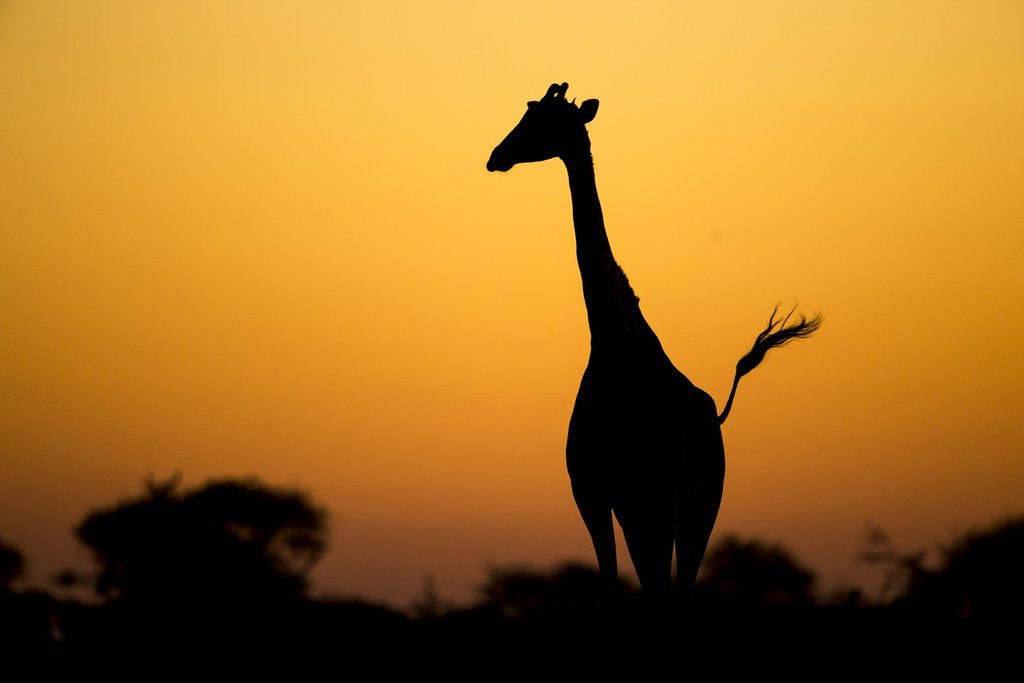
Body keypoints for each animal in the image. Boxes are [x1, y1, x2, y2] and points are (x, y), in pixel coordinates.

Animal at [487, 83, 822, 592]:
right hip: (663, 507)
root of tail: (715, 416)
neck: (614, 341)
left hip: (685, 504)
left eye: (543, 119)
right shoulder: (598, 494)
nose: (496, 156)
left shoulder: (628, 493)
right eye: (528, 112)